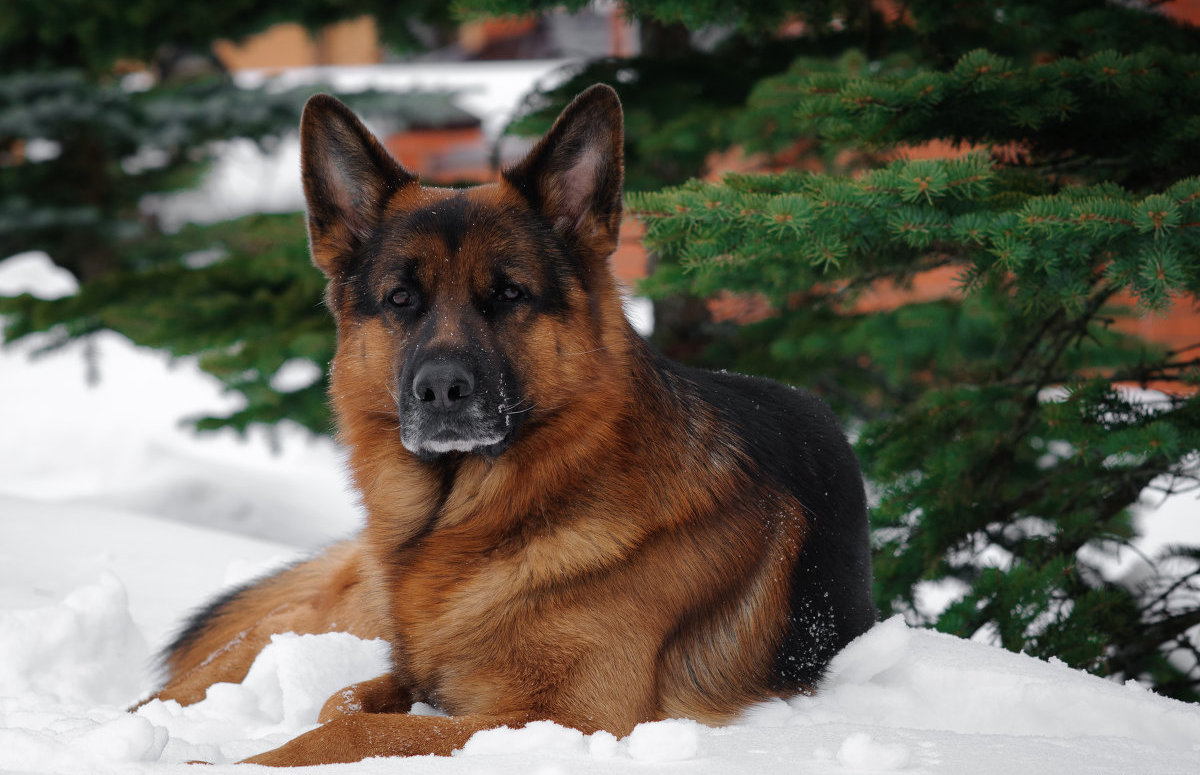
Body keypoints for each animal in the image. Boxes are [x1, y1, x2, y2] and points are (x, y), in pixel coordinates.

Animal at [145, 83, 878, 763]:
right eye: (400, 298)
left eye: (508, 294)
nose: (441, 389)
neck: (479, 520)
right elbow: (343, 700)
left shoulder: (564, 718)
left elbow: (353, 723)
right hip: (342, 610)